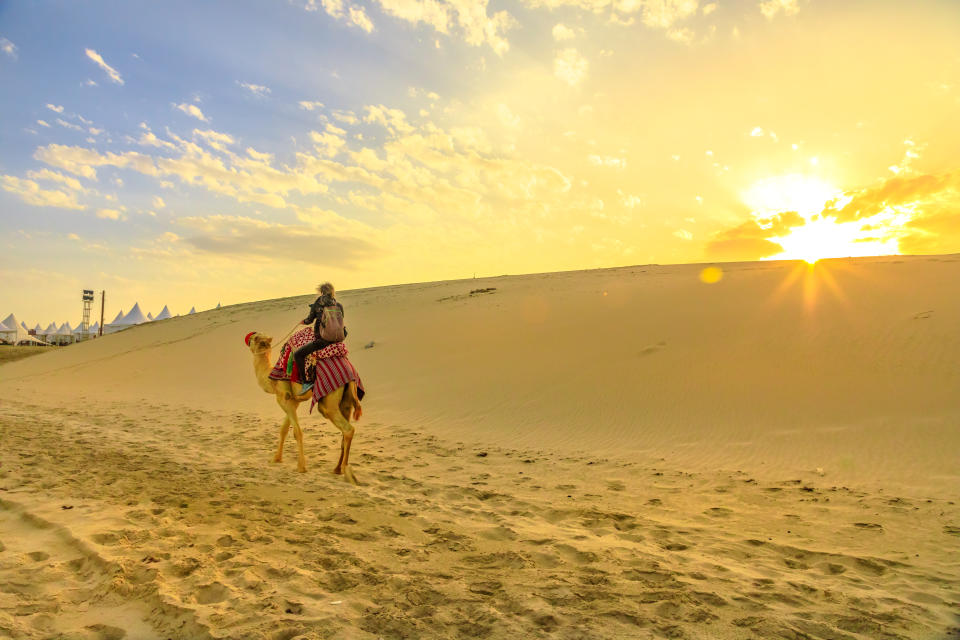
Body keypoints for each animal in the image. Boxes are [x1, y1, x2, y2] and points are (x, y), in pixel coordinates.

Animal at [248, 332, 364, 482]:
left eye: (253, 338)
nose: (247, 338)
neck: (270, 379)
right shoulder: (293, 401)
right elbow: (284, 429)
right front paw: (276, 459)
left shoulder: (284, 399)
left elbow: (297, 432)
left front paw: (301, 466)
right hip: (347, 400)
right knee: (345, 431)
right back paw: (337, 469)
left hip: (328, 401)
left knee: (347, 429)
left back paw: (346, 471)